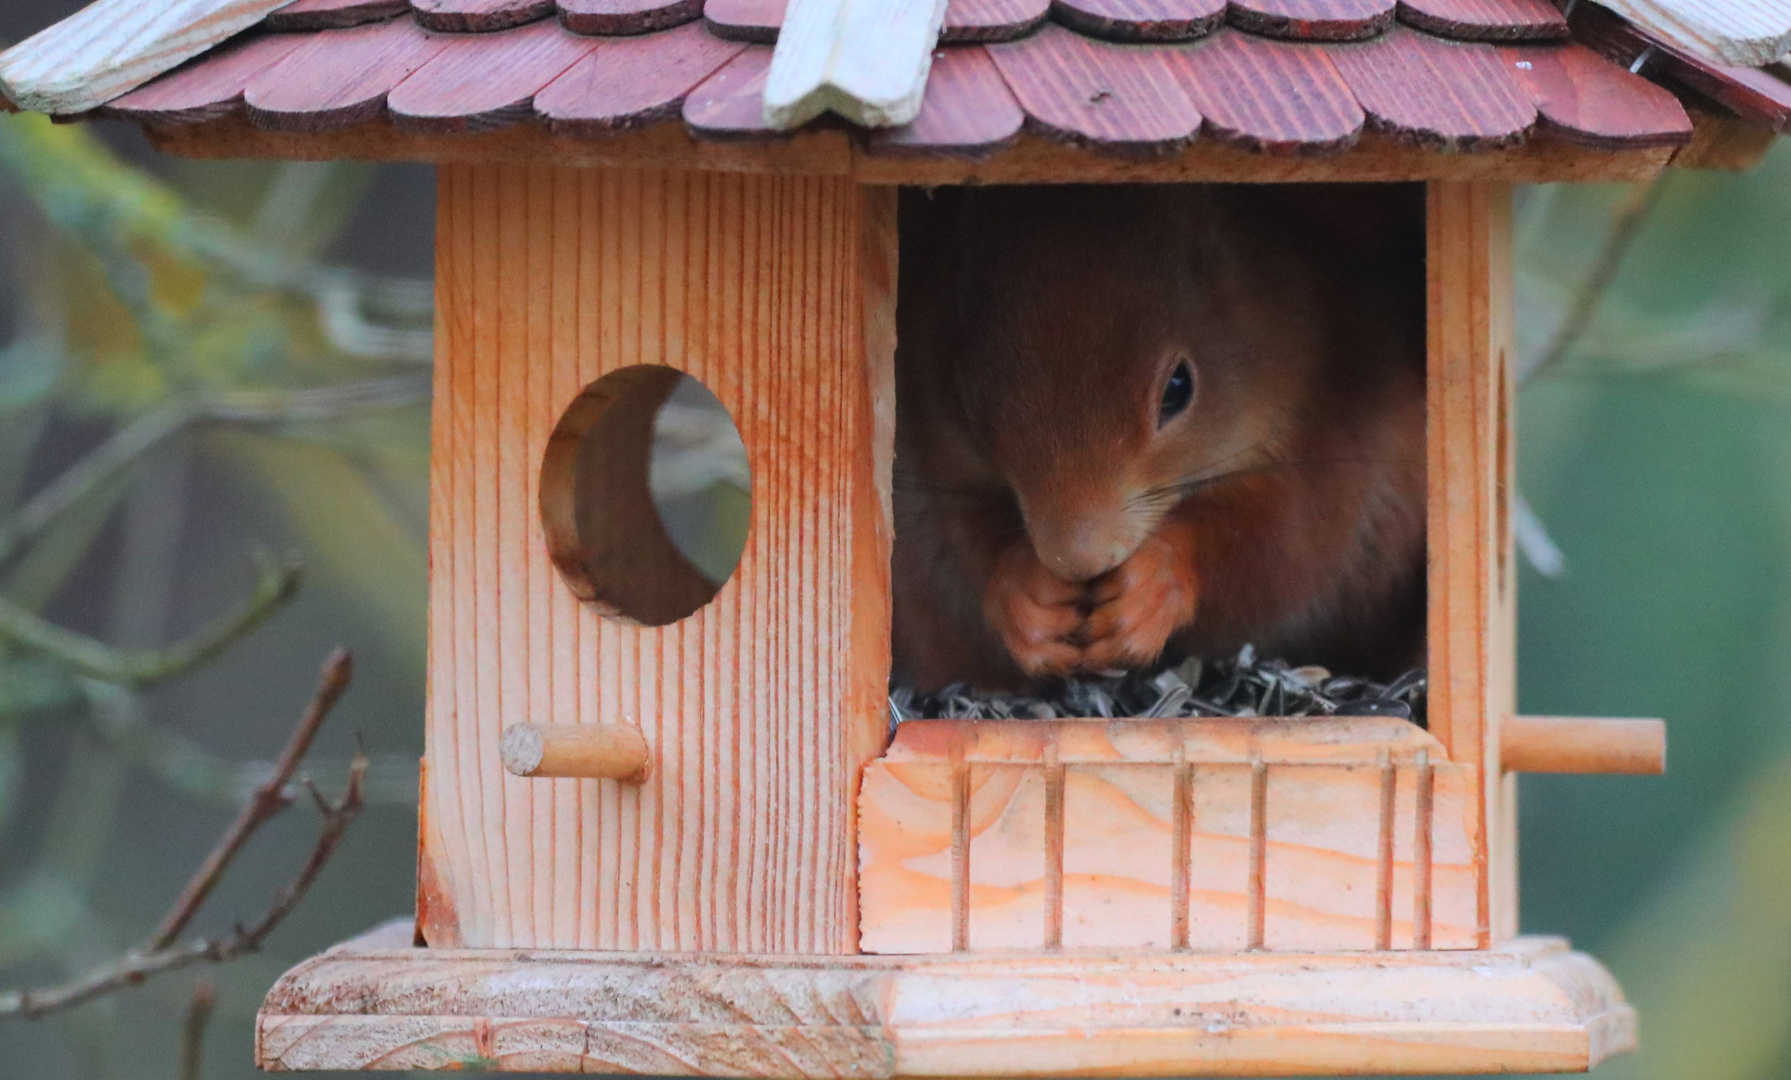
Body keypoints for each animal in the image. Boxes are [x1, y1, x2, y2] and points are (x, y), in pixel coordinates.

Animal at [895, 184, 1425, 691]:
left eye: (1178, 387)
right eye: (963, 396)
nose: (1076, 559)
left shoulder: (1337, 424)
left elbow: (1287, 548)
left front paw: (1155, 584)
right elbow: (963, 541)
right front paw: (1026, 593)